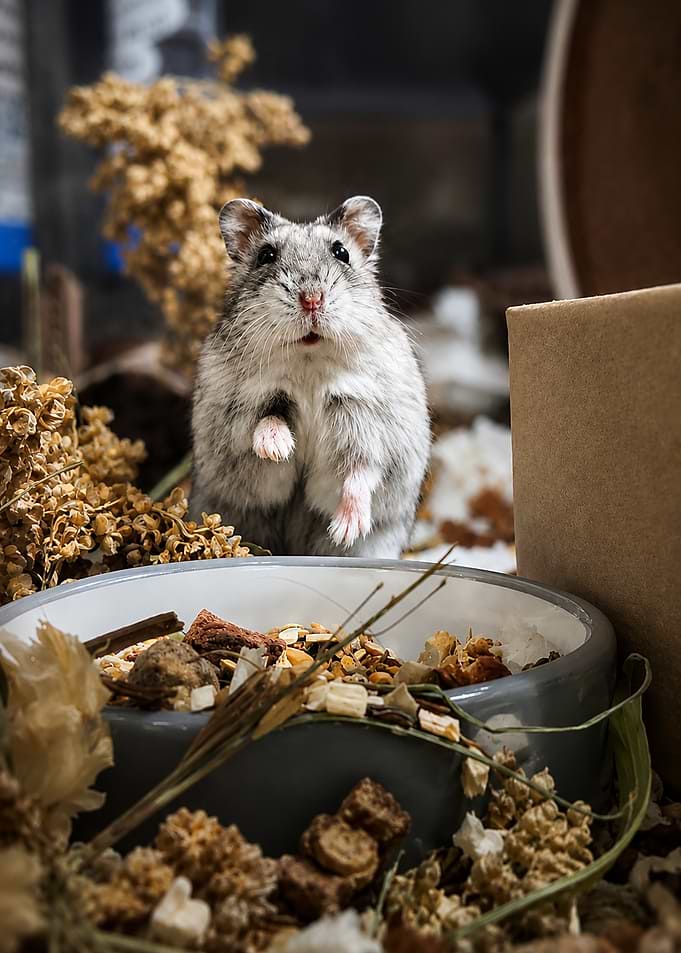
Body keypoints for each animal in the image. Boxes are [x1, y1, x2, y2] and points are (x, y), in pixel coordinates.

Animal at [190, 195, 431, 558]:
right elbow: (267, 422)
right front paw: (277, 449)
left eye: (341, 252)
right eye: (266, 255)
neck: (309, 360)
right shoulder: (245, 415)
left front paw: (345, 531)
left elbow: (360, 472)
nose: (312, 300)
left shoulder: (367, 421)